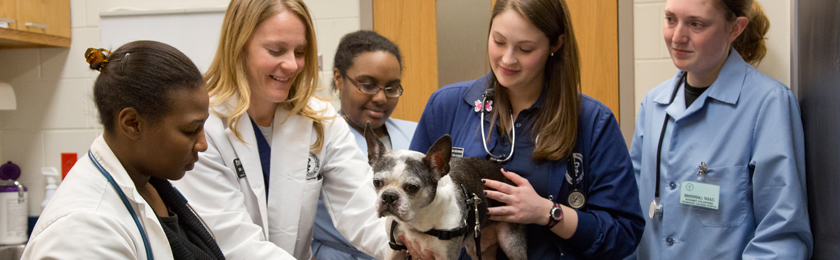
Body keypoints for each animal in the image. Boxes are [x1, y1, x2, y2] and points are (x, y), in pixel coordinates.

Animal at [364, 125, 528, 258]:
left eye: (412, 187)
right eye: (377, 182)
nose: (388, 196)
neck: (417, 220)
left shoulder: (446, 255)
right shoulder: (395, 249)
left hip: (511, 244)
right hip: (477, 248)